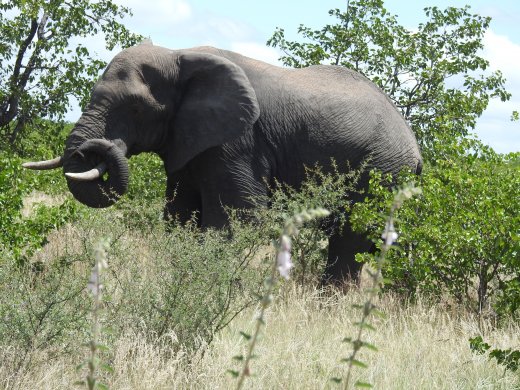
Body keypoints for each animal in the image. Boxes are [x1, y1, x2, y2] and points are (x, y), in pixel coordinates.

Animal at [24, 43, 422, 284]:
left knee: (350, 241)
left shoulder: (238, 142)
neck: (178, 55)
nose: (96, 149)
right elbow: (179, 216)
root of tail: (414, 144)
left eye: (136, 109)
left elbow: (237, 216)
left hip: (384, 170)